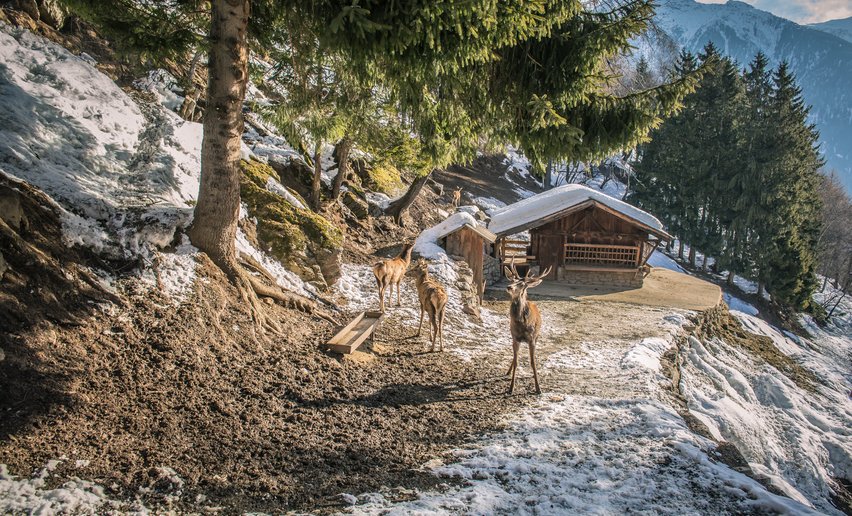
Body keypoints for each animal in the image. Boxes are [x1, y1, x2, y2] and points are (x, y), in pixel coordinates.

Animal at [506, 258, 552, 396]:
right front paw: (511, 388)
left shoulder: (532, 339)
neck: (522, 324)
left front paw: (538, 388)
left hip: (537, 336)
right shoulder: (515, 337)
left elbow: (533, 363)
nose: (509, 287)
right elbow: (516, 362)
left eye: (522, 284)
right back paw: (508, 371)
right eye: (512, 280)